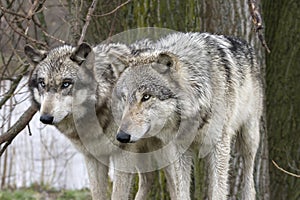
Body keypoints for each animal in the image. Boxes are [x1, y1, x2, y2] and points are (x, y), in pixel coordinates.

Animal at [24, 39, 157, 199]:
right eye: (42, 83)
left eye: (65, 84)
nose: (45, 118)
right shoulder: (93, 157)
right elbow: (97, 193)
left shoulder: (123, 153)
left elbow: (118, 194)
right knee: (149, 178)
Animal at [113, 32, 262, 199]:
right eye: (125, 98)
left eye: (146, 96)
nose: (122, 136)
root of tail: (245, 43)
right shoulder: (179, 149)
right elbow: (182, 191)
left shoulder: (220, 144)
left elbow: (219, 191)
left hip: (248, 140)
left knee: (249, 181)